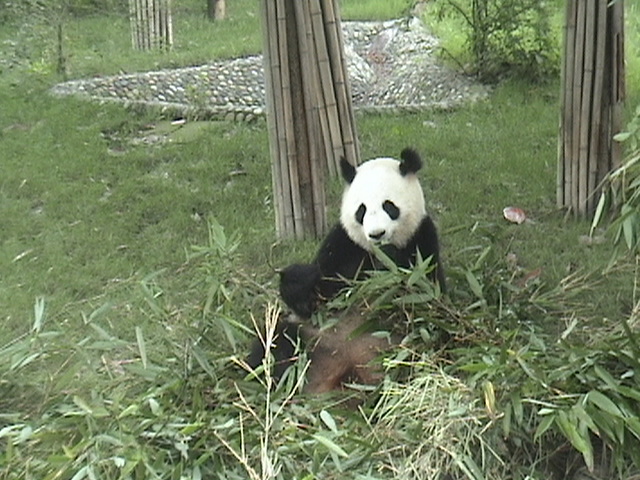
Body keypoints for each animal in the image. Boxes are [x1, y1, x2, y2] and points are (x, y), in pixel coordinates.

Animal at [248, 147, 444, 394]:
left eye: (389, 206)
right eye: (362, 210)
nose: (377, 234)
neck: (372, 253)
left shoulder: (422, 239)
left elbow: (427, 299)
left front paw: (390, 264)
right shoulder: (342, 244)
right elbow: (316, 294)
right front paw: (298, 280)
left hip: (404, 348)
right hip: (310, 335)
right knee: (274, 344)